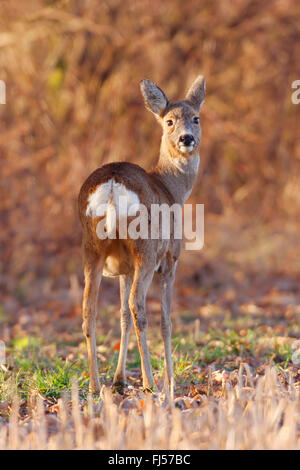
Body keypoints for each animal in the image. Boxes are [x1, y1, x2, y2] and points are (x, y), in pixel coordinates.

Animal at [78, 76, 206, 392]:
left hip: (92, 247)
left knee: (90, 309)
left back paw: (95, 384)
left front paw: (119, 378)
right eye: (169, 121)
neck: (172, 190)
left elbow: (121, 316)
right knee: (138, 306)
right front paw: (171, 379)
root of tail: (112, 184)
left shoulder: (123, 267)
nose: (187, 138)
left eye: (196, 118)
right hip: (146, 249)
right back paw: (150, 382)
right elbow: (166, 320)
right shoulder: (171, 258)